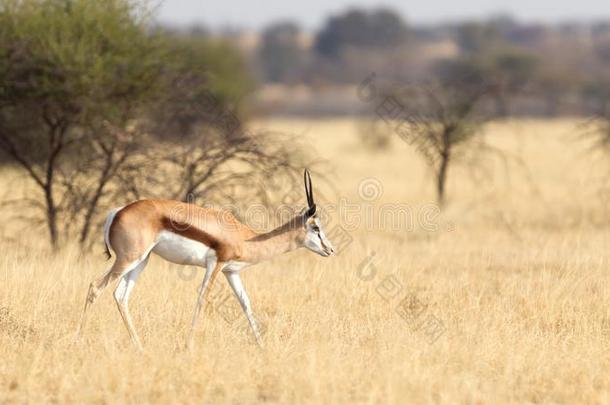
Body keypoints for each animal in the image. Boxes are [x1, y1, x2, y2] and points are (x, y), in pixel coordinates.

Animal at [77, 169, 332, 348]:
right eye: (316, 227)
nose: (330, 249)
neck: (245, 237)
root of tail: (117, 212)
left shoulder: (231, 271)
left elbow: (245, 303)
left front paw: (262, 346)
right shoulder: (215, 265)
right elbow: (202, 299)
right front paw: (188, 345)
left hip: (141, 261)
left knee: (120, 295)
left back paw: (139, 346)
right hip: (128, 259)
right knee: (95, 287)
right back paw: (78, 339)